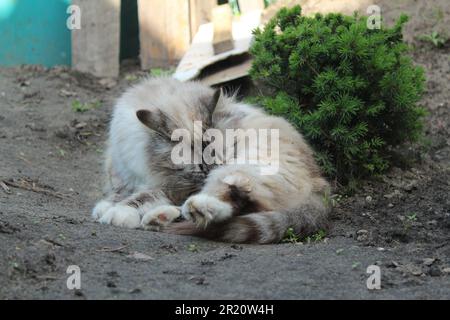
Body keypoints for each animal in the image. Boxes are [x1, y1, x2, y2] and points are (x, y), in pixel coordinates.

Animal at [92, 77, 330, 242]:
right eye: (198, 171)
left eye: (222, 158)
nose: (209, 173)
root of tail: (321, 182)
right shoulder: (126, 174)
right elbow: (120, 192)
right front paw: (106, 207)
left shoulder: (172, 188)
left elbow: (142, 197)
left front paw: (119, 213)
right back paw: (159, 219)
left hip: (244, 168)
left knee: (236, 200)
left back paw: (195, 208)